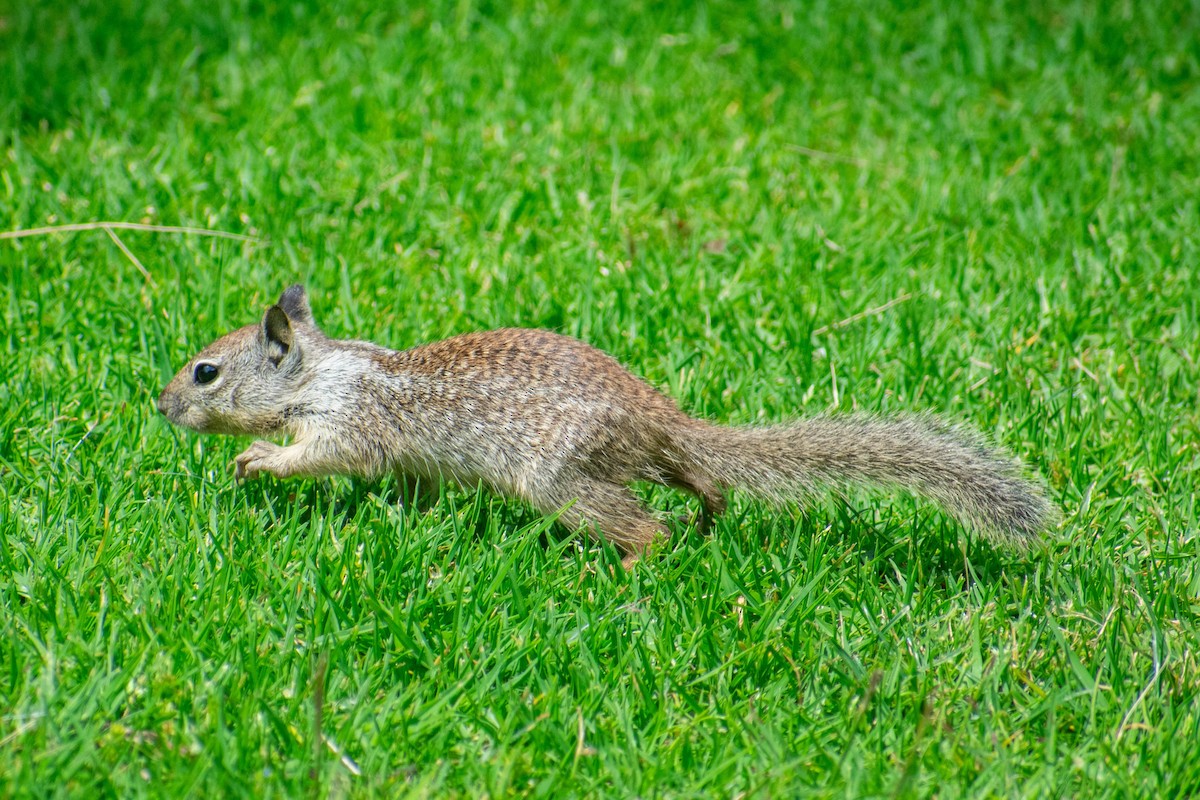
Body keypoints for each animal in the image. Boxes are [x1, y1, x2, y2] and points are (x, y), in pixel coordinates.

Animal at [157, 284, 1055, 567]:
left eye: (206, 372)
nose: (159, 405)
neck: (325, 369)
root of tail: (659, 416)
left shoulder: (350, 421)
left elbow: (326, 456)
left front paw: (259, 460)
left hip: (563, 480)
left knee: (643, 526)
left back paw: (627, 569)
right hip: (635, 463)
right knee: (701, 482)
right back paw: (708, 513)